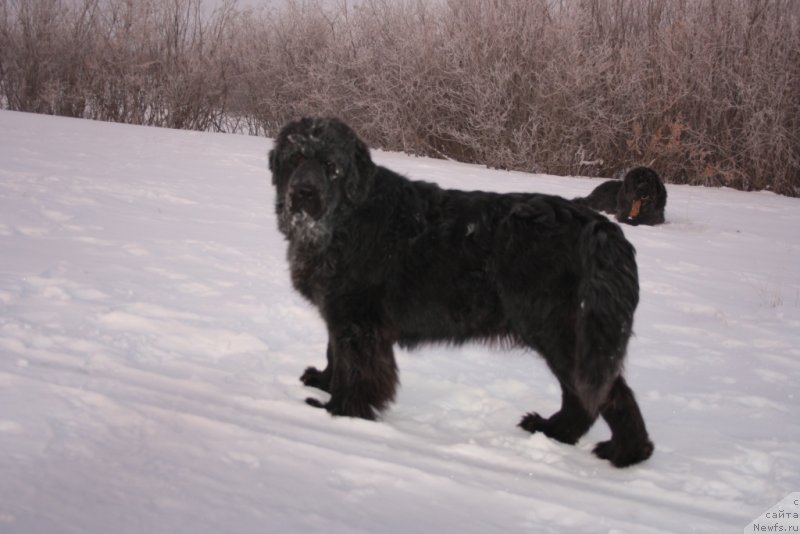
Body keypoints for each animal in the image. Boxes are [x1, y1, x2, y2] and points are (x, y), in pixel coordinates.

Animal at [272, 118, 652, 468]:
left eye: (331, 167)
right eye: (296, 159)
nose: (304, 192)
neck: (345, 220)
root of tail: (600, 227)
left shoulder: (358, 320)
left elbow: (356, 369)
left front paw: (341, 411)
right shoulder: (339, 314)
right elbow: (334, 353)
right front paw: (323, 383)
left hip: (563, 332)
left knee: (604, 393)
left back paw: (621, 452)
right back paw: (565, 434)